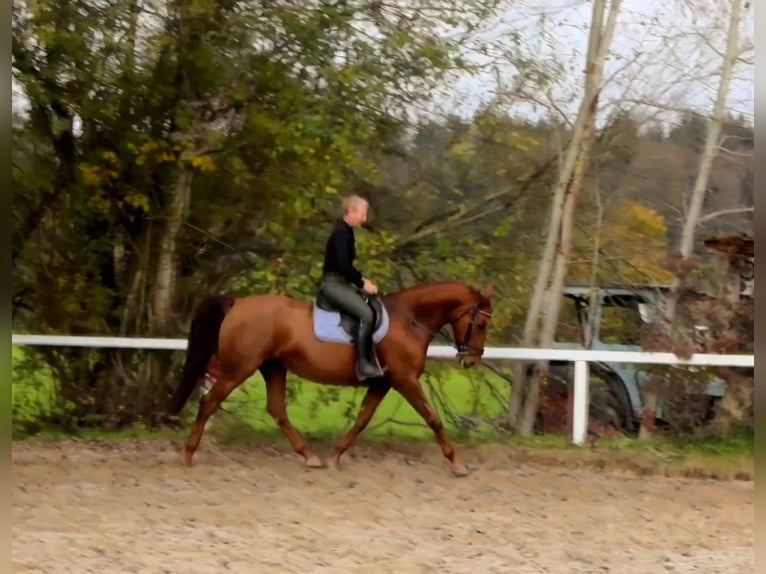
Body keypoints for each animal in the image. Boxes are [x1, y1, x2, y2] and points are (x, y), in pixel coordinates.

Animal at [170, 280, 498, 476]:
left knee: (276, 409)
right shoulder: (405, 380)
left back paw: (309, 456)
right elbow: (433, 418)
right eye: (481, 324)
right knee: (209, 402)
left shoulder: (382, 383)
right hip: (239, 368)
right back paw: (187, 454)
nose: (471, 359)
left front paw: (336, 456)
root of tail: (237, 302)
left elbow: (362, 419)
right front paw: (457, 462)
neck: (409, 320)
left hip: (273, 367)